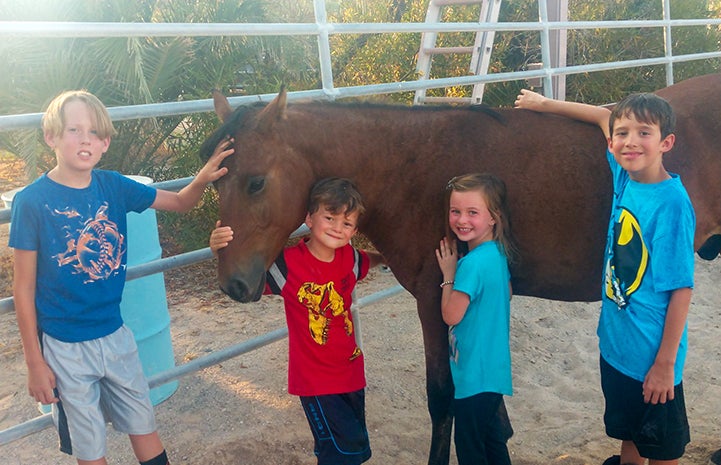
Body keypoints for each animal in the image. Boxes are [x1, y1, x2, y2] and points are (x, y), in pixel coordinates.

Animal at [200, 72, 720, 464]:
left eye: (256, 182)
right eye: (214, 181)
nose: (234, 283)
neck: (410, 169)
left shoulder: (435, 299)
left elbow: (442, 396)